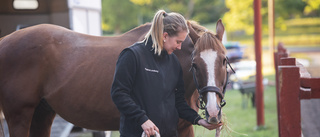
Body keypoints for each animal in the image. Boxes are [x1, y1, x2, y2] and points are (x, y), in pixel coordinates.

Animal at [0, 19, 230, 137]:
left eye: (224, 60)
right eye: (195, 64)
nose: (213, 112)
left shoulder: (183, 128)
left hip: (42, 114)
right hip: (19, 117)